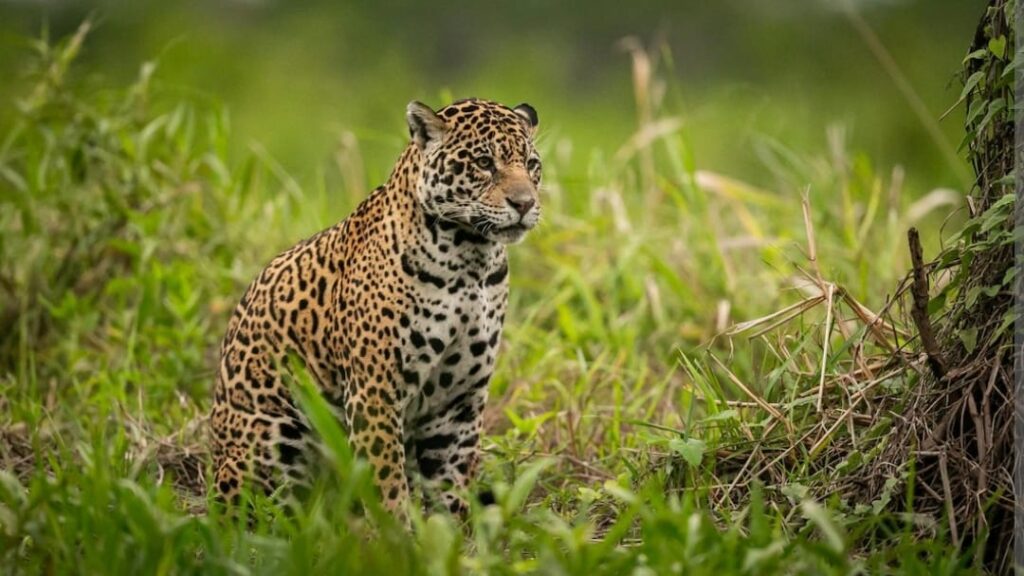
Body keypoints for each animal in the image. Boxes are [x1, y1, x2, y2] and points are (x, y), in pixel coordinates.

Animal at [210, 98, 541, 521]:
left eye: (532, 165)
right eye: (484, 163)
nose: (525, 203)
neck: (471, 260)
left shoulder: (459, 402)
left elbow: (450, 486)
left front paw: (453, 537)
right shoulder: (376, 391)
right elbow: (387, 483)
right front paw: (397, 535)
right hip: (273, 437)